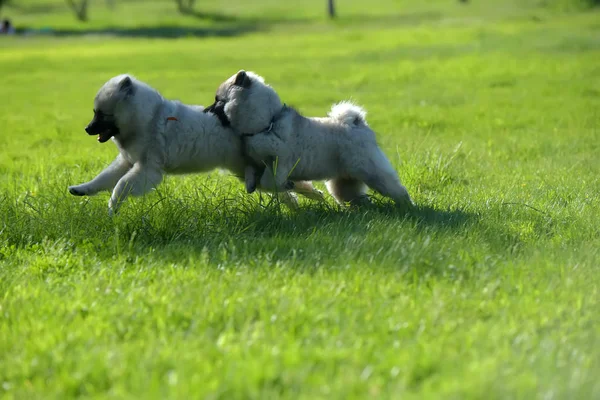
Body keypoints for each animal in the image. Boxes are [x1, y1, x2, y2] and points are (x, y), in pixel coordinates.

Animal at [68, 73, 324, 214]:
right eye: (95, 113)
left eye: (101, 115)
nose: (87, 129)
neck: (148, 117)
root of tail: (265, 122)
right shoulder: (127, 161)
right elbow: (103, 179)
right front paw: (82, 189)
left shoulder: (147, 169)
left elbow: (120, 185)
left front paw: (113, 207)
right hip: (254, 175)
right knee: (289, 188)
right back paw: (309, 200)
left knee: (290, 186)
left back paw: (314, 198)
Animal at [204, 71, 414, 208]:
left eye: (217, 100)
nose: (205, 111)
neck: (266, 124)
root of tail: (357, 123)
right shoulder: (255, 162)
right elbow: (253, 177)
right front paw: (254, 184)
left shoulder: (280, 161)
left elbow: (269, 181)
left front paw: (287, 185)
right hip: (344, 184)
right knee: (358, 198)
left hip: (372, 172)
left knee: (397, 190)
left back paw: (408, 207)